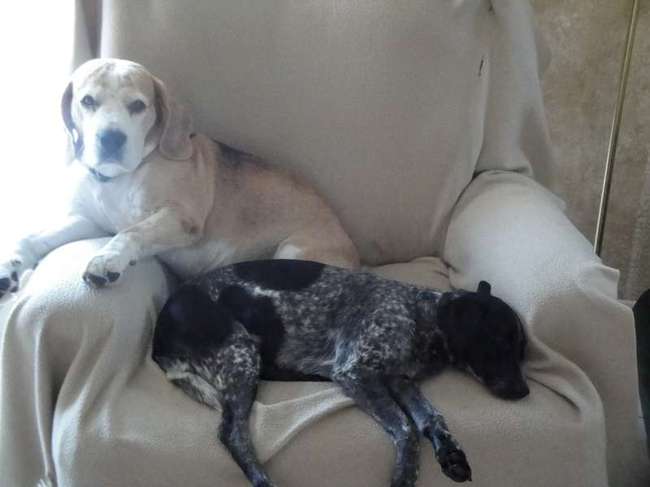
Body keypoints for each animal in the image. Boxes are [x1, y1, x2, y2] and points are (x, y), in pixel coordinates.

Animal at [0, 59, 358, 297]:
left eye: (138, 105)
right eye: (87, 101)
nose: (110, 138)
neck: (120, 180)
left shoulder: (179, 218)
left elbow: (131, 231)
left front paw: (106, 259)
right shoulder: (86, 220)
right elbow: (32, 237)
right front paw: (10, 265)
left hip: (293, 253)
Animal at [152, 259, 529, 487]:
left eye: (521, 351)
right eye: (499, 342)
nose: (524, 392)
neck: (419, 315)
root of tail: (160, 335)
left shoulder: (400, 380)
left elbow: (432, 419)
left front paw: (450, 453)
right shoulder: (356, 373)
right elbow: (407, 429)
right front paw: (404, 475)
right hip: (242, 355)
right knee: (232, 434)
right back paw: (262, 479)